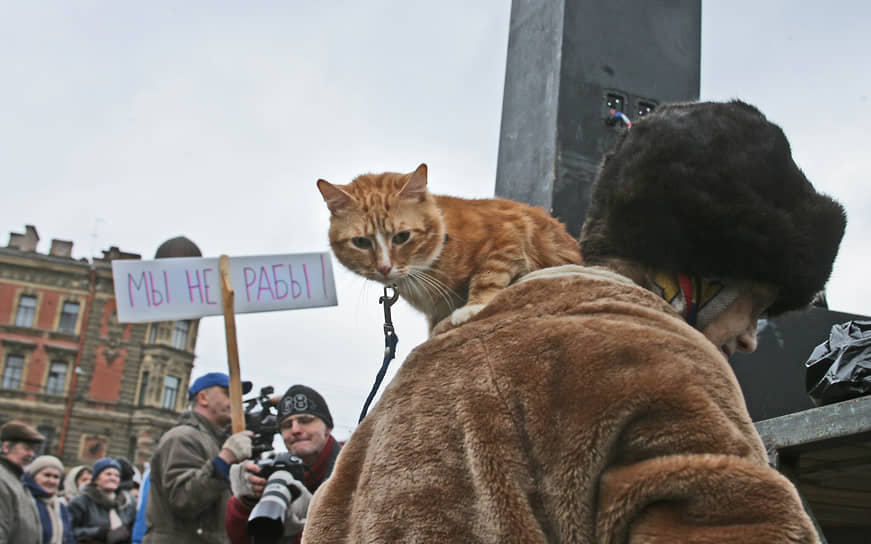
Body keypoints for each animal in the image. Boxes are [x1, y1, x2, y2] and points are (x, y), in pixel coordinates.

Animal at [316, 162, 584, 332]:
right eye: (361, 242)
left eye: (402, 237)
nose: (384, 268)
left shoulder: (509, 233)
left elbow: (488, 275)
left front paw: (472, 308)